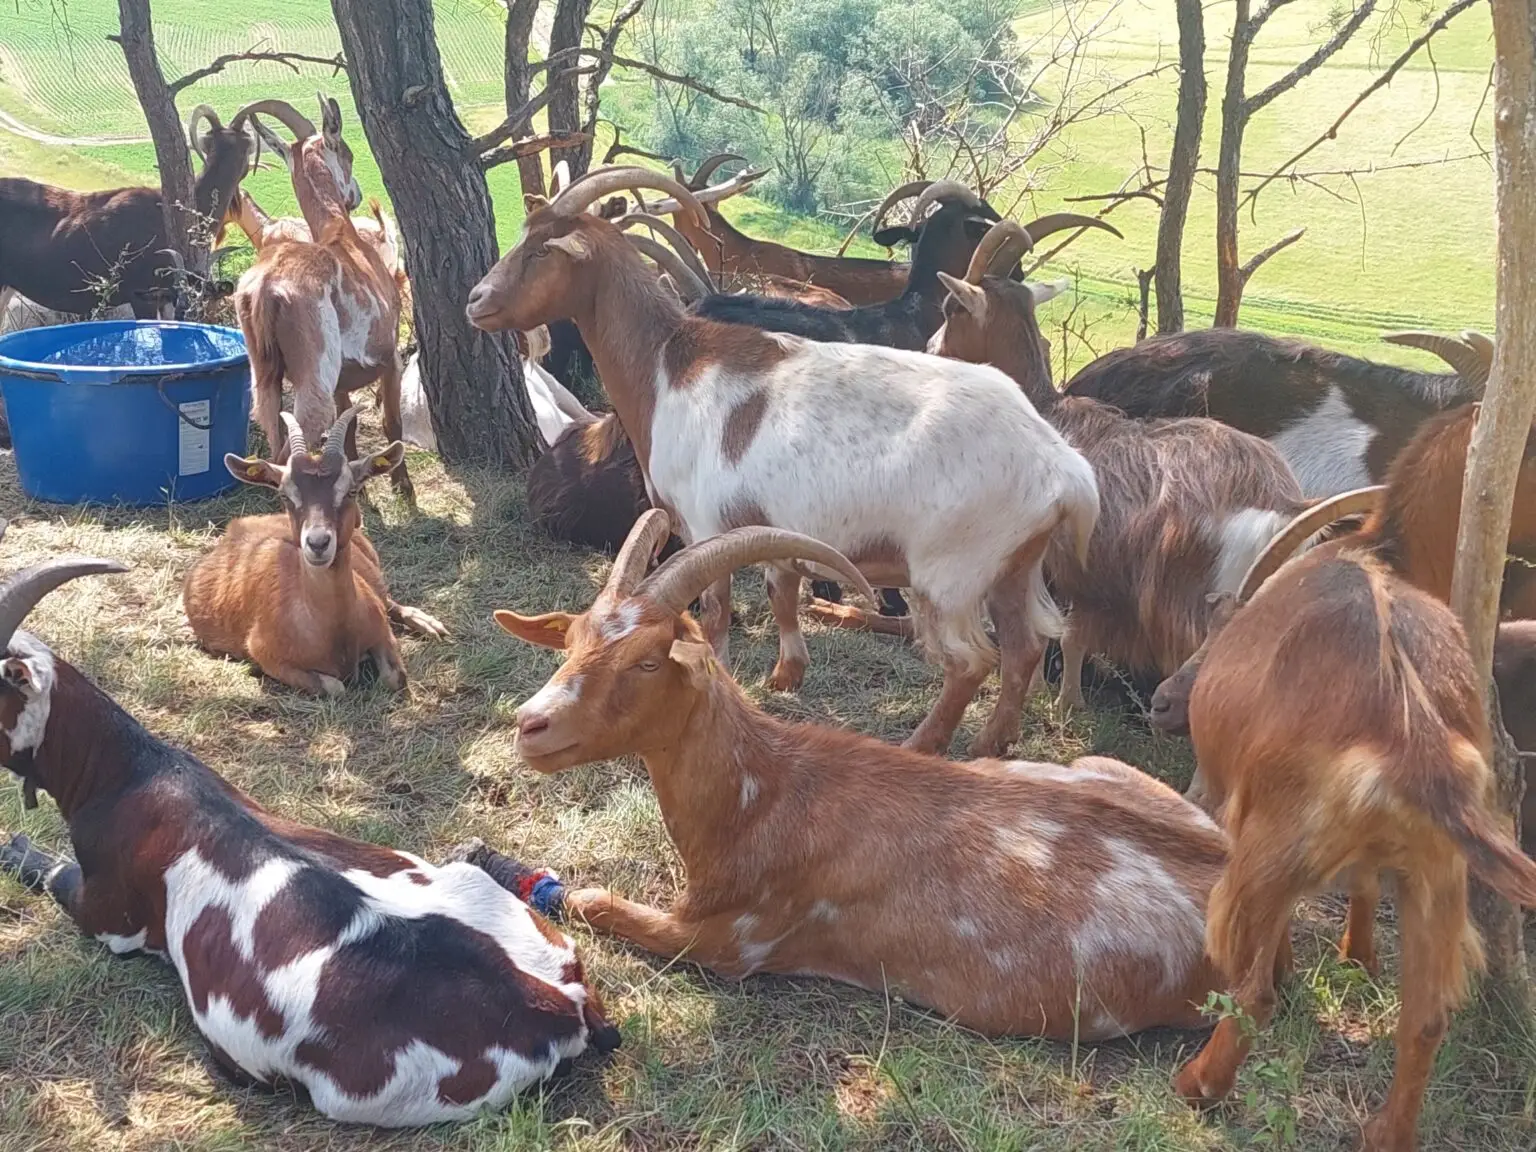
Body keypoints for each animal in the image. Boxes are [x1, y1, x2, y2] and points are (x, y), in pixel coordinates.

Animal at [183, 408, 446, 697]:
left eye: (351, 491)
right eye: (285, 495)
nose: (318, 543)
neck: (333, 632)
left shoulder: (382, 632)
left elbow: (394, 678)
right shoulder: (268, 658)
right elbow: (336, 687)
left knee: (389, 601)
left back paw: (429, 624)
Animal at [232, 96, 413, 502]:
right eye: (346, 151)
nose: (356, 194)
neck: (341, 233)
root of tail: (267, 286)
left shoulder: (342, 380)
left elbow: (348, 429)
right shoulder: (389, 356)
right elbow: (392, 423)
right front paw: (403, 488)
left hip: (265, 378)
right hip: (314, 377)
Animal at [466, 165, 1101, 756]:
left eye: (543, 249)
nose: (476, 301)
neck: (667, 365)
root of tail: (1062, 469)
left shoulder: (704, 523)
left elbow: (717, 611)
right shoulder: (771, 520)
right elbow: (781, 588)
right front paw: (786, 675)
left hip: (950, 572)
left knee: (972, 661)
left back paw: (923, 745)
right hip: (1014, 566)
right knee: (1024, 648)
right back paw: (991, 744)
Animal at [497, 509, 1228, 1038]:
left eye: (649, 660)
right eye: (572, 641)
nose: (531, 724)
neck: (764, 795)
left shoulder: (733, 939)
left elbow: (595, 901)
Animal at [928, 219, 1323, 705]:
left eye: (952, 308)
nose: (930, 348)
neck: (1046, 413)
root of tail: (1279, 504)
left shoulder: (1064, 562)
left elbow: (1059, 630)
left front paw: (1059, 700)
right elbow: (1068, 632)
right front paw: (1064, 699)